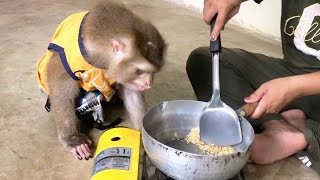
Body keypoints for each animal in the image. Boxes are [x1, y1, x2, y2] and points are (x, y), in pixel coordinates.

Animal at [37, 0, 168, 160]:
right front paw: (72, 139)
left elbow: (131, 94)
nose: (149, 82)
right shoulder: (64, 64)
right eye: (140, 71)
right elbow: (61, 95)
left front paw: (144, 133)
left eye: (153, 72)